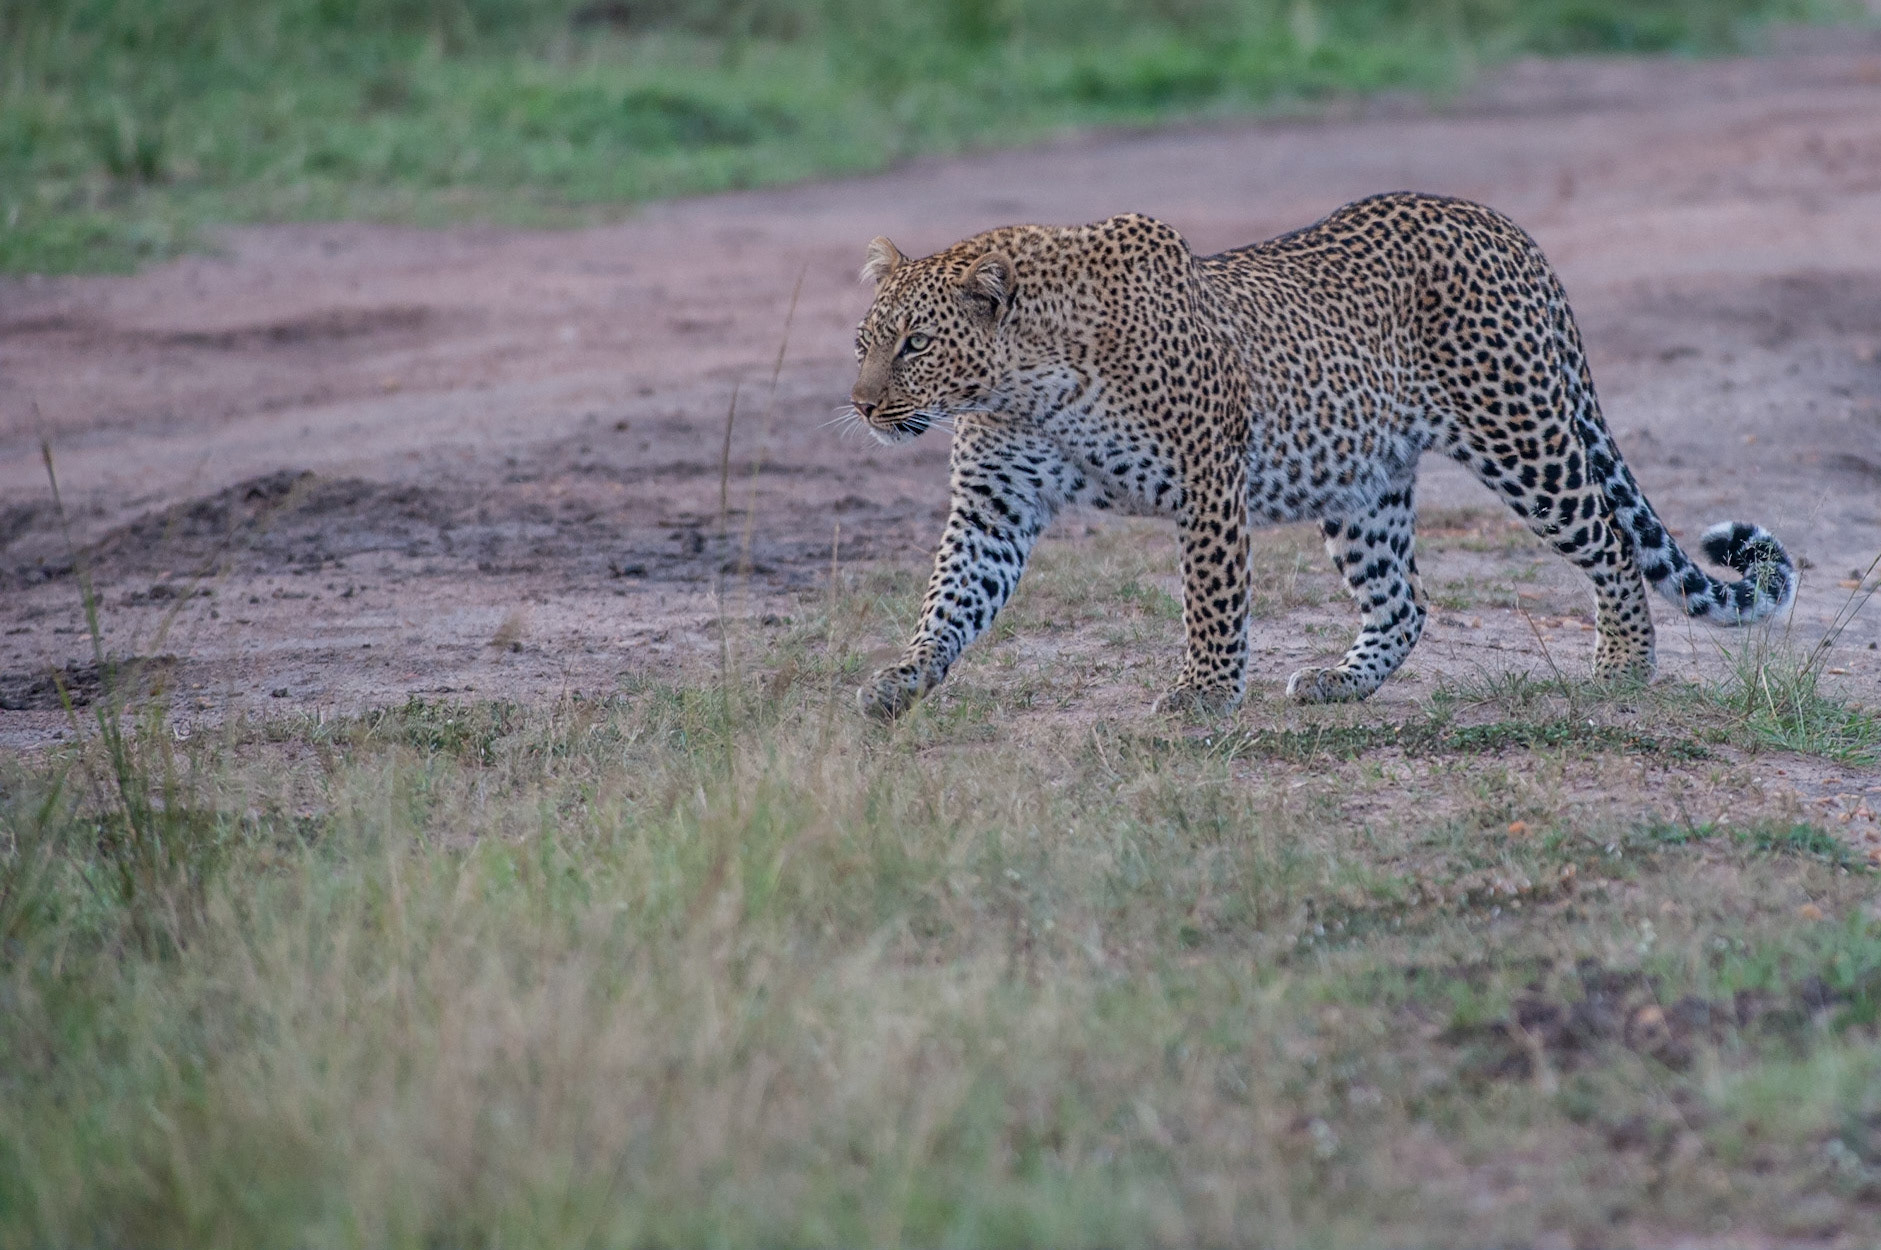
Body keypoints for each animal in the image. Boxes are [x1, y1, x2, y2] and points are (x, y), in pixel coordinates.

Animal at [844, 192, 1794, 720]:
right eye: (862, 341)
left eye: (915, 344)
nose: (860, 406)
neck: (1021, 386)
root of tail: (1501, 224)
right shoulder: (994, 504)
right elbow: (950, 598)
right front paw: (902, 680)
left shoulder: (1207, 481)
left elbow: (1212, 603)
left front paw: (1203, 694)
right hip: (1363, 481)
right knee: (1403, 599)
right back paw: (1343, 683)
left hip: (1523, 437)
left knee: (1609, 541)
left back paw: (1623, 666)